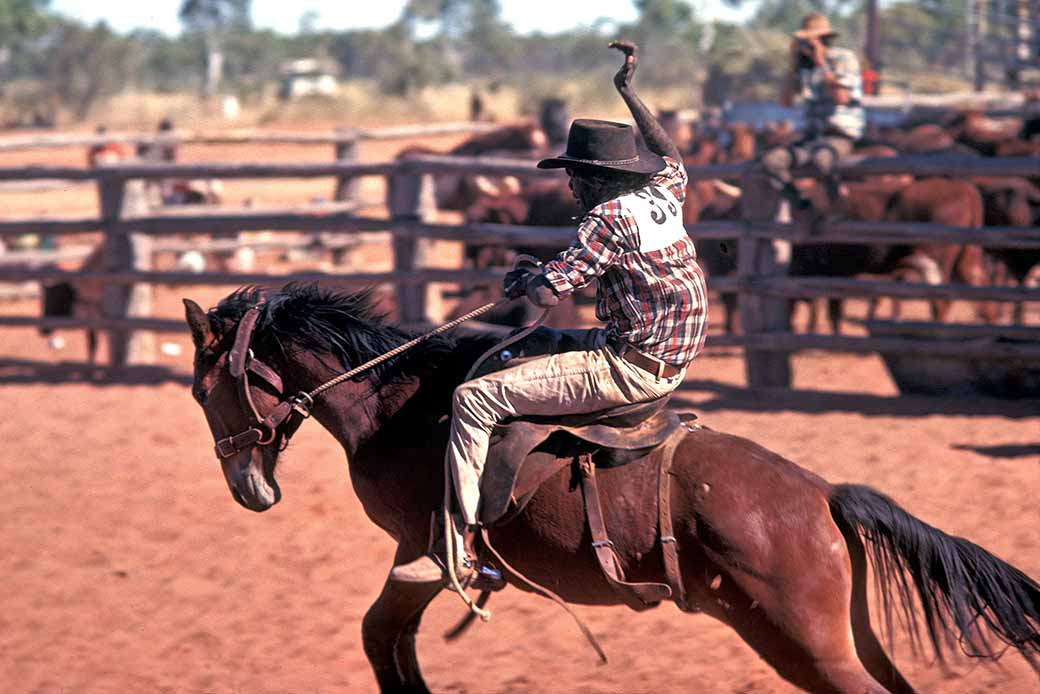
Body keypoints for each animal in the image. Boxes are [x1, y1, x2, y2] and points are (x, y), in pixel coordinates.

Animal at [183, 283, 1035, 694]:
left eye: (202, 390)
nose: (247, 491)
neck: (402, 408)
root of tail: (822, 496)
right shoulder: (428, 561)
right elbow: (390, 639)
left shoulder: (425, 552)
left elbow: (378, 635)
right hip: (840, 632)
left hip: (802, 640)